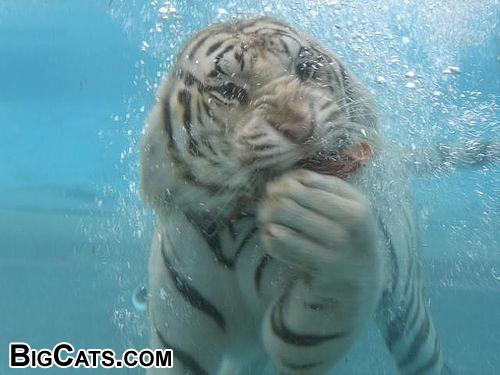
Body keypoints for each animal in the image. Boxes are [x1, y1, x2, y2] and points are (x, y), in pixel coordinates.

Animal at [140, 16, 450, 374]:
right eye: (230, 90)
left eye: (304, 67)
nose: (301, 126)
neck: (239, 221)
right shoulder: (178, 339)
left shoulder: (304, 336)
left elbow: (325, 304)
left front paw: (326, 225)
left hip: (409, 314)